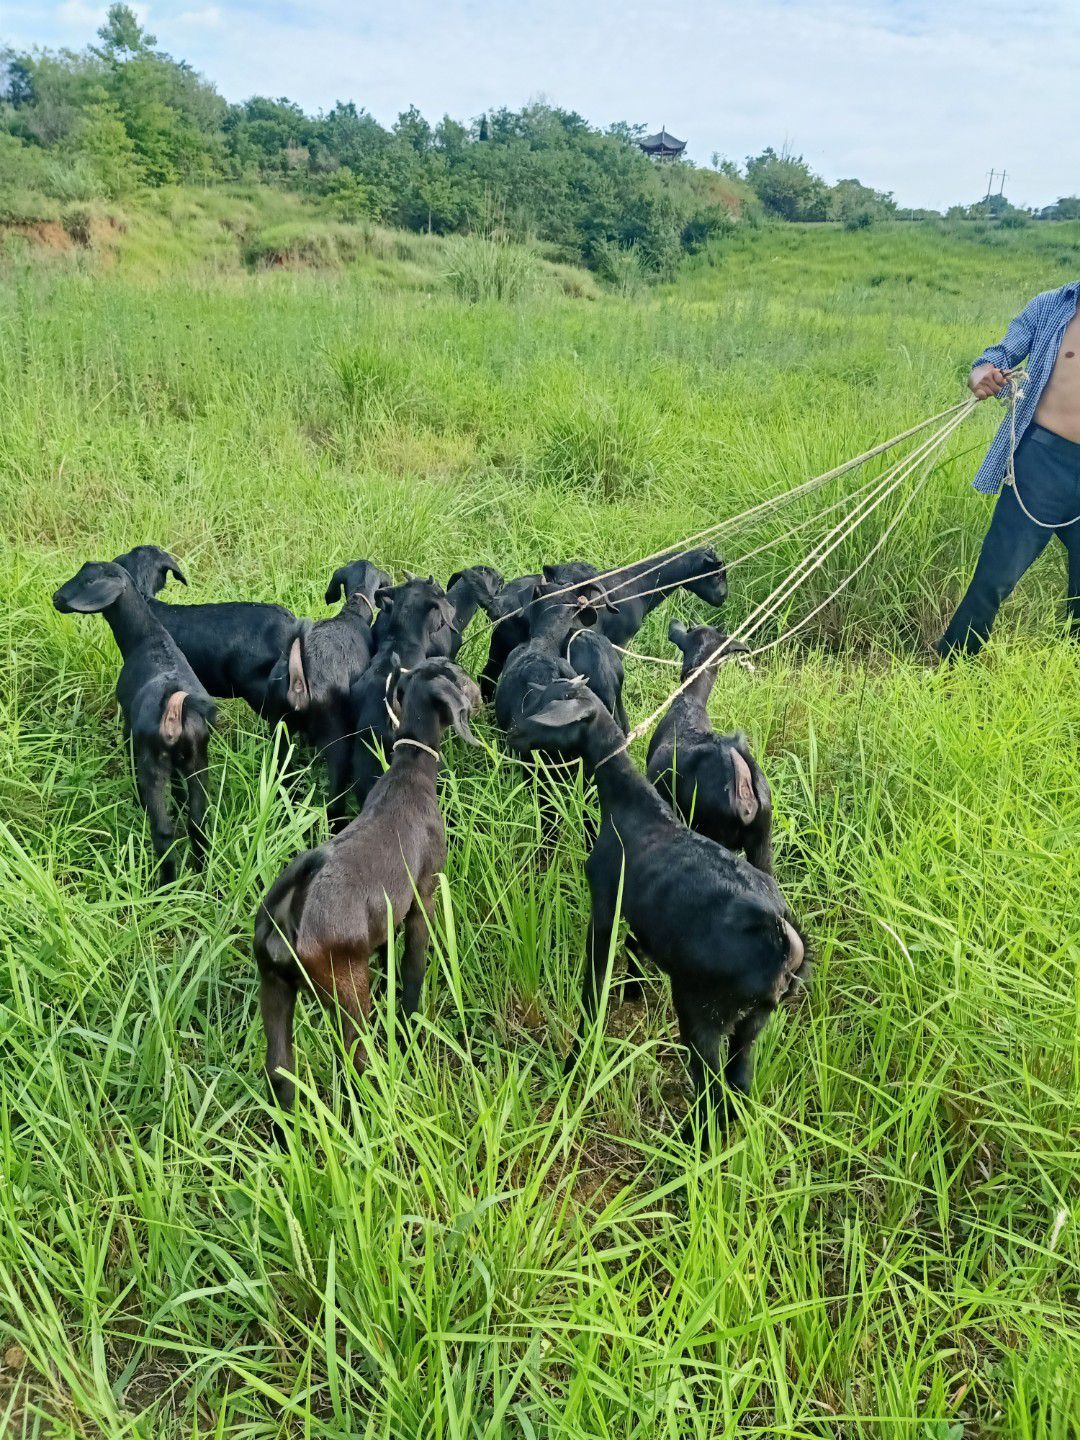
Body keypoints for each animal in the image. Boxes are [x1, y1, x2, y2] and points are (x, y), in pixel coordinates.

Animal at [52, 558, 217, 875]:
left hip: (152, 763)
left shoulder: (129, 729)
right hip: (197, 760)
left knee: (163, 831)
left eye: (87, 580)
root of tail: (175, 703)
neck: (147, 638)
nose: (56, 598)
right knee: (198, 822)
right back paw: (201, 874)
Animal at [256, 659, 480, 1123]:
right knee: (353, 1064)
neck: (409, 773)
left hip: (275, 986)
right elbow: (413, 971)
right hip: (348, 991)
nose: (482, 694)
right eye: (457, 674)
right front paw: (411, 1027)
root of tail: (290, 908)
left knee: (280, 1073)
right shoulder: (423, 899)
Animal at [512, 673, 806, 1134]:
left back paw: (683, 1141)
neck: (633, 808)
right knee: (738, 1083)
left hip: (703, 1008)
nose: (511, 734)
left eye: (545, 708)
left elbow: (594, 990)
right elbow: (636, 952)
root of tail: (784, 944)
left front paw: (575, 1061)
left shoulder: (605, 908)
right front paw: (632, 992)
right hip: (752, 1021)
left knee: (711, 1089)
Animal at [648, 616, 771, 864]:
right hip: (762, 846)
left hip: (713, 832)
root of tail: (745, 796)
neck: (691, 701)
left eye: (690, 629)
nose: (675, 621)